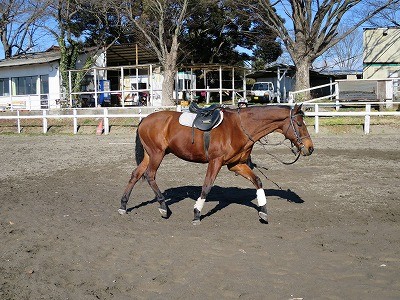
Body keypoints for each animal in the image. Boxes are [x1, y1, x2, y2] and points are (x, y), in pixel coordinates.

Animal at [118, 104, 312, 224]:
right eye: (299, 123)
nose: (310, 148)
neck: (239, 127)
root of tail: (145, 120)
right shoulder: (215, 161)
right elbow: (207, 186)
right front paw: (197, 213)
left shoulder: (236, 164)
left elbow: (257, 181)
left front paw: (263, 211)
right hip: (157, 154)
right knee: (150, 175)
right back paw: (164, 208)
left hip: (150, 155)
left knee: (135, 174)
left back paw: (123, 205)